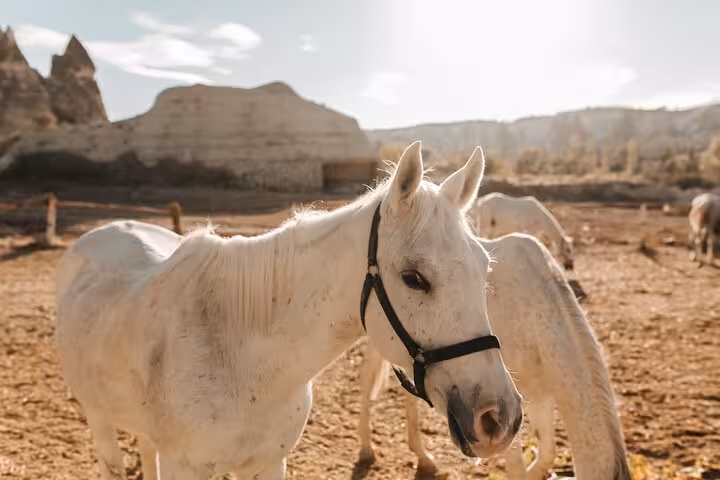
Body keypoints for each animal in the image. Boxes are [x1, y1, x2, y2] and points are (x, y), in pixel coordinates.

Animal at [54, 141, 523, 480]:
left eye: (484, 266)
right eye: (414, 278)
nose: (499, 418)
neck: (242, 358)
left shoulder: (269, 464)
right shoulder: (183, 468)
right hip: (98, 419)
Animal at [359, 233, 630, 480]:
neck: (534, 313)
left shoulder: (538, 396)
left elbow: (546, 455)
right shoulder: (502, 419)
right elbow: (518, 469)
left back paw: (424, 459)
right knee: (367, 381)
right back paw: (367, 450)